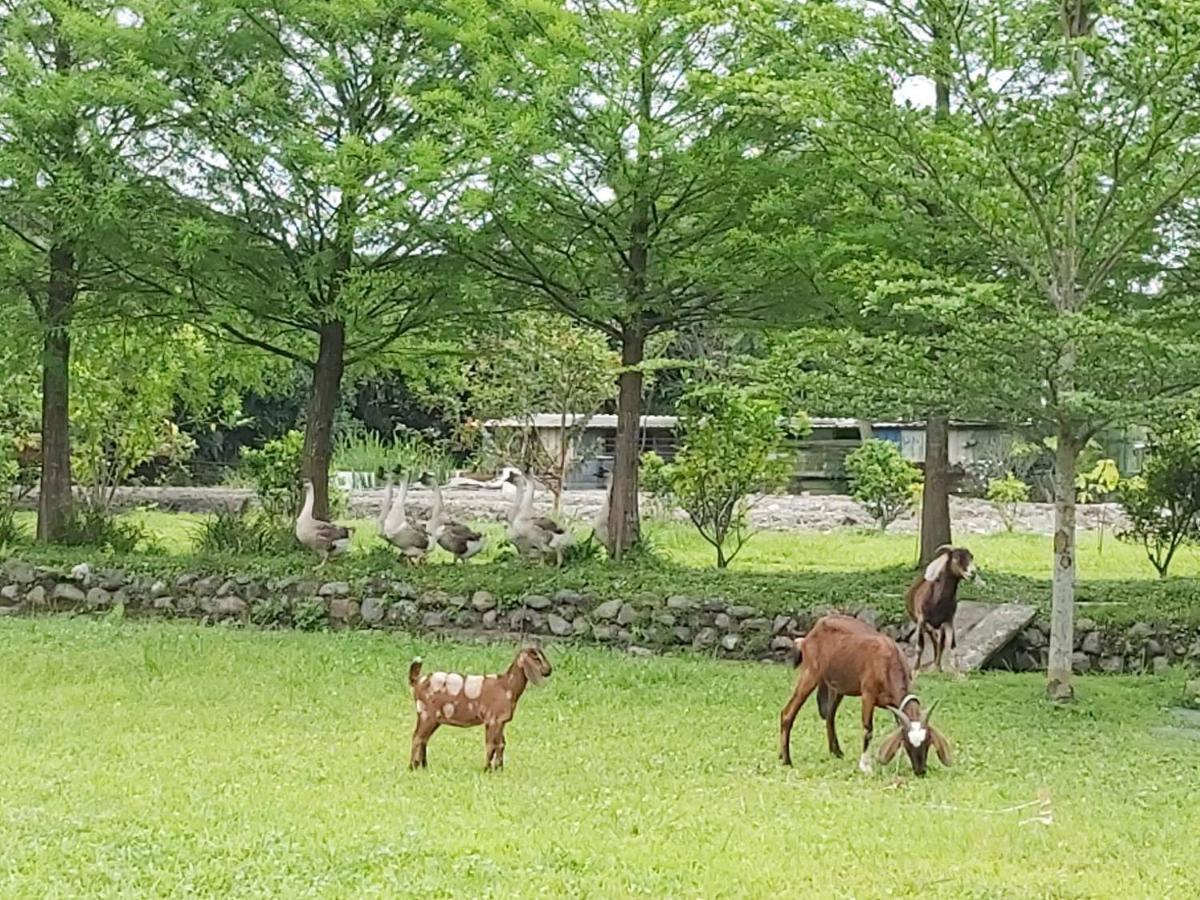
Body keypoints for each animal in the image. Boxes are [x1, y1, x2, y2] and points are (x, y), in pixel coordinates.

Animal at [777, 619, 955, 777]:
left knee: (829, 716)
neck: (887, 662)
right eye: (908, 743)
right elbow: (868, 729)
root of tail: (810, 634)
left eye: (928, 742)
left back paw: (836, 752)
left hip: (837, 686)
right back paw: (786, 760)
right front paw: (865, 766)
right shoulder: (868, 694)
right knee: (788, 713)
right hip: (811, 673)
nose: (920, 771)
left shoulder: (895, 704)